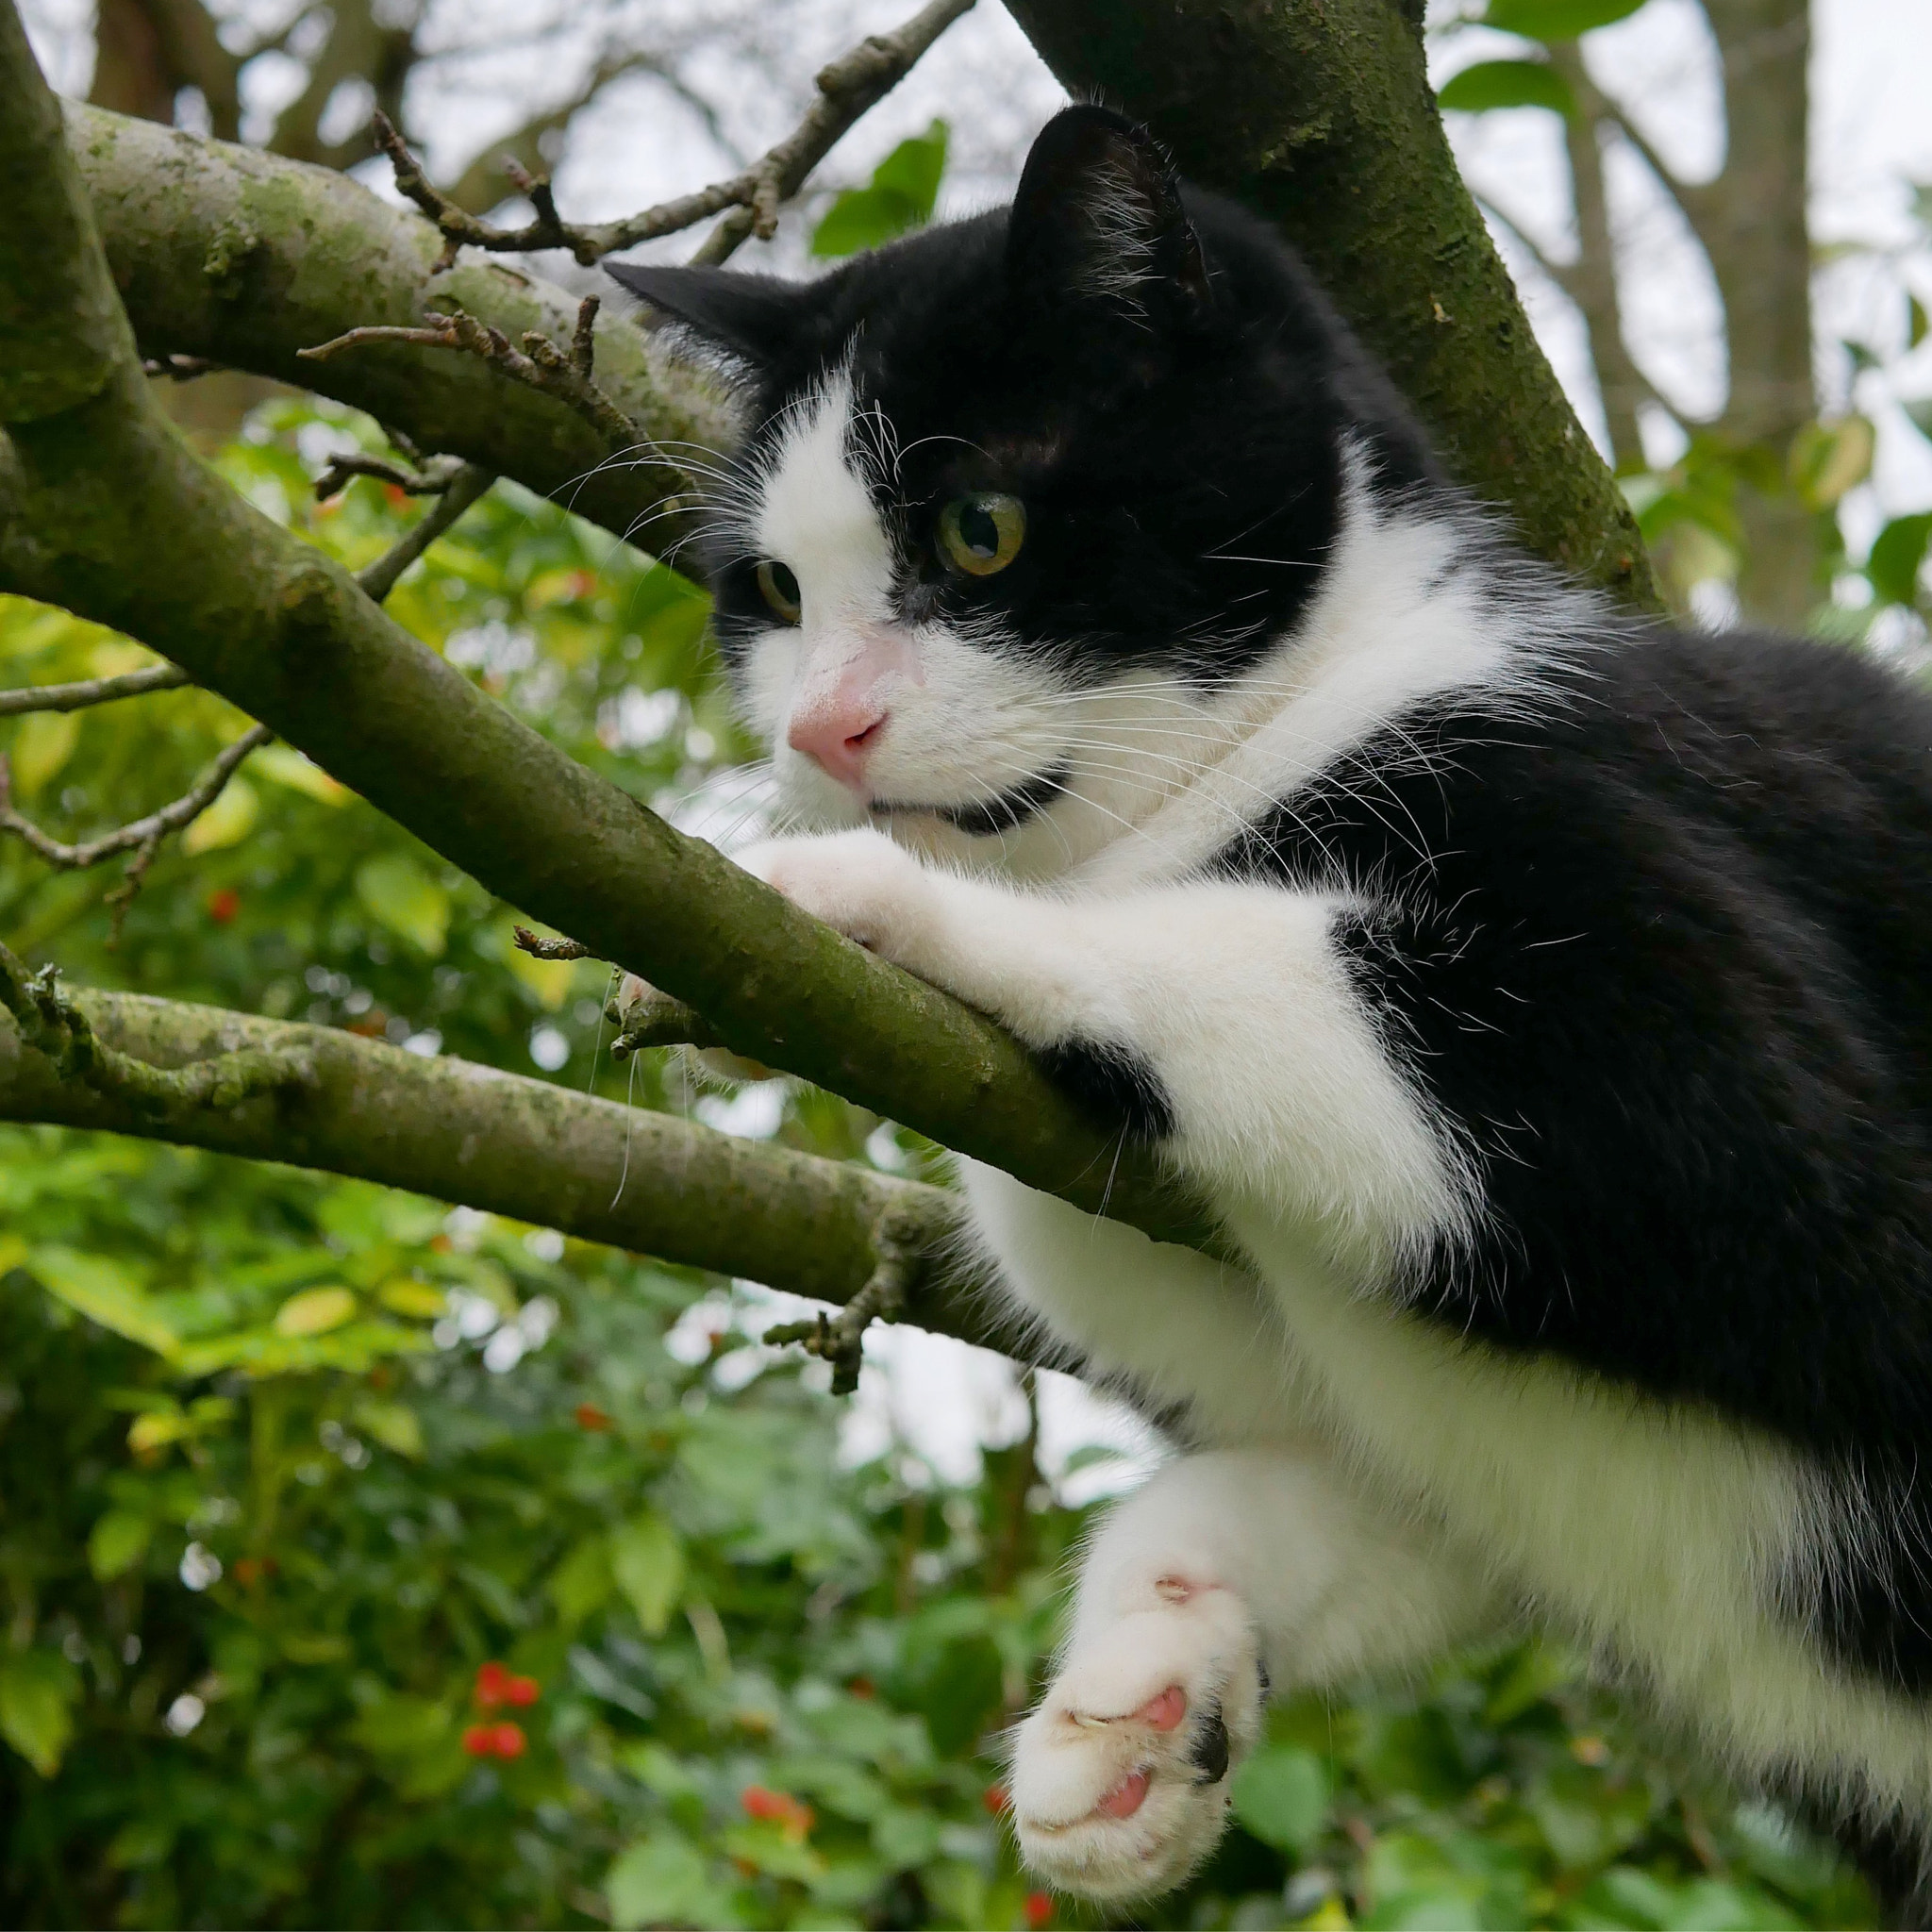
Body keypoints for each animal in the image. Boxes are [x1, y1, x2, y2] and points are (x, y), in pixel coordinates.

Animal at [610, 106, 1932, 1901]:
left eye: (979, 531)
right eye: (771, 590)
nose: (824, 733)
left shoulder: (1731, 1063)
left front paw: (859, 901)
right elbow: (1362, 1505)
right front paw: (1135, 1706)